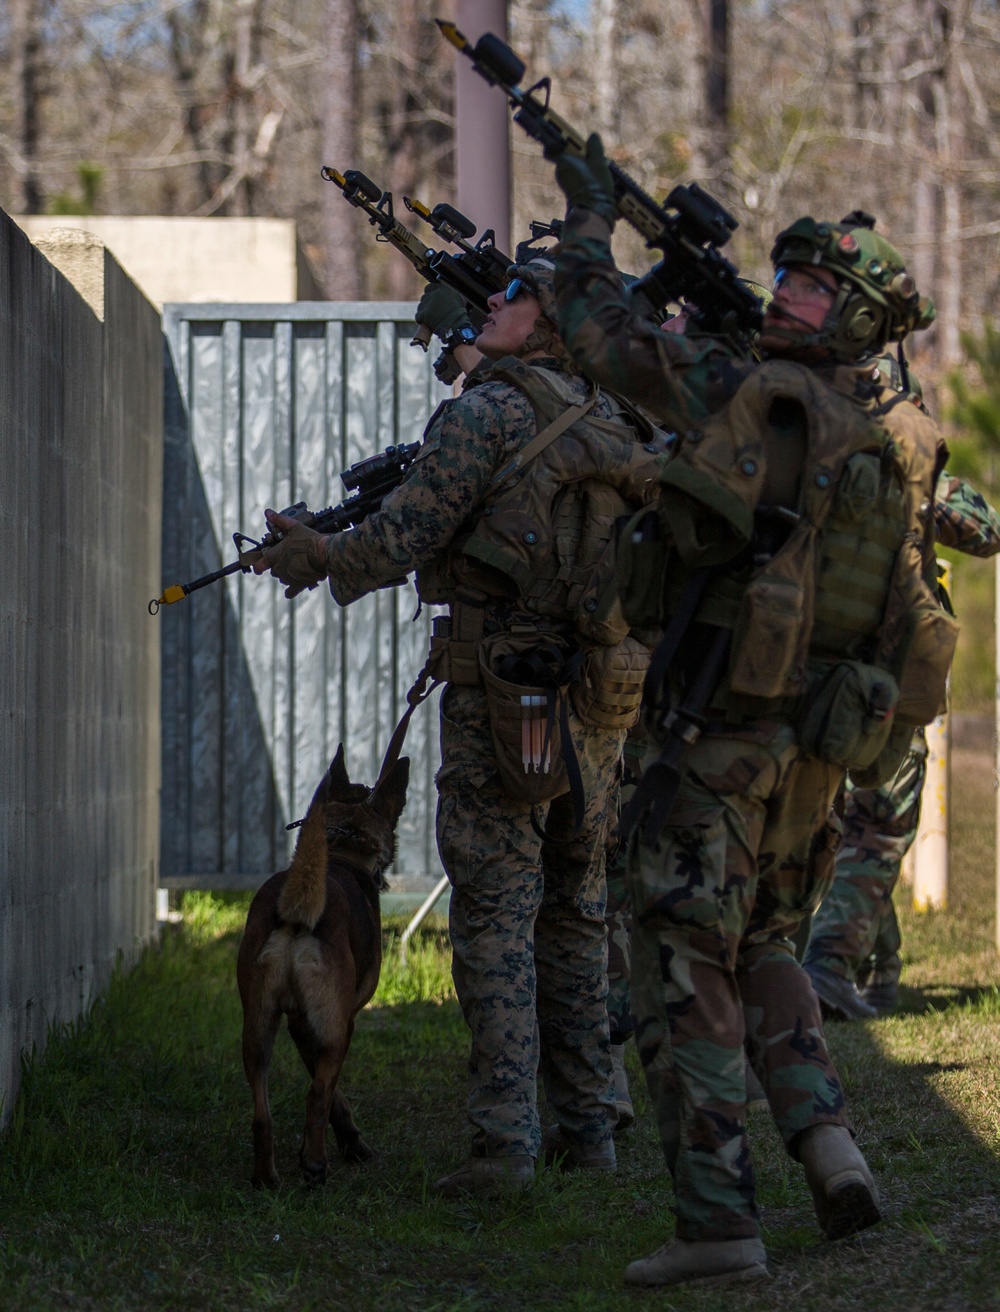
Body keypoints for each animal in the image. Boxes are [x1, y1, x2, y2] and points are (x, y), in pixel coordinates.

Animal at [236, 745, 406, 1186]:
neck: (342, 853)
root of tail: (296, 911)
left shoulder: (299, 1024)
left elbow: (328, 1091)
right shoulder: (342, 1023)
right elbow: (327, 1092)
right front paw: (348, 1146)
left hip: (257, 1025)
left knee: (261, 1112)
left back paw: (266, 1176)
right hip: (333, 1030)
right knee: (315, 1097)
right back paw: (315, 1164)